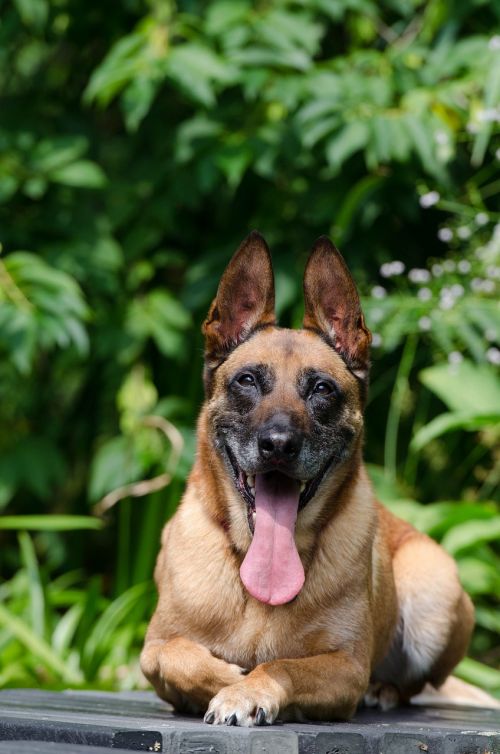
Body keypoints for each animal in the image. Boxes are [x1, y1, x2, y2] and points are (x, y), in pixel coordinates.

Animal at [140, 234, 496, 724]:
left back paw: (384, 690)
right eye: (247, 380)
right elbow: (178, 656)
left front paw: (246, 690)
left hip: (433, 587)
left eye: (322, 389)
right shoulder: (152, 650)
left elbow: (282, 666)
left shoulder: (345, 668)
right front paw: (230, 680)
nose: (278, 445)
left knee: (415, 684)